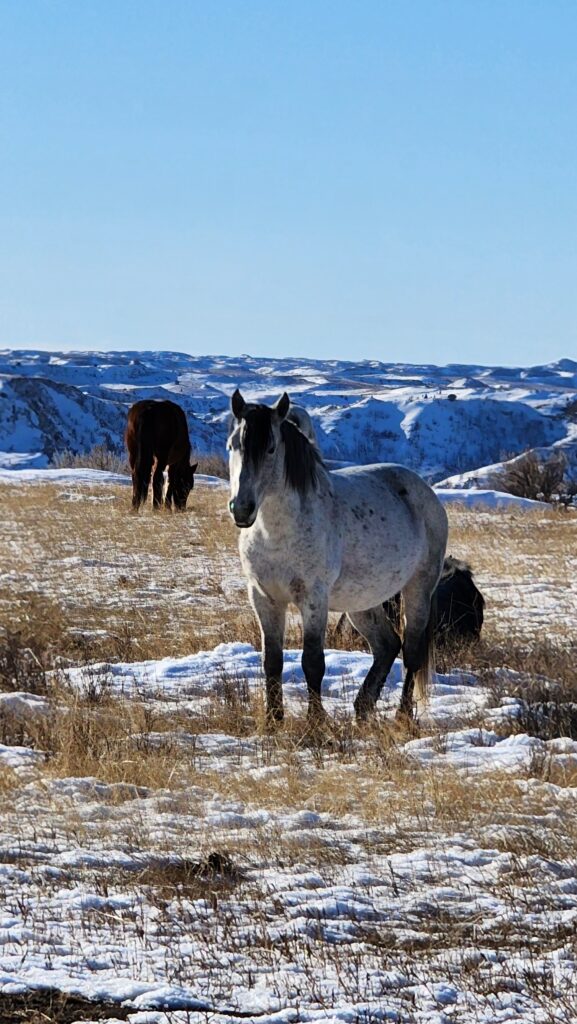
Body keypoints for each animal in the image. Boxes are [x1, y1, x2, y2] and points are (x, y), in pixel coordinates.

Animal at [228, 389, 448, 720]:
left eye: (270, 448)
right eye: (233, 445)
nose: (241, 509)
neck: (275, 533)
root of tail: (425, 490)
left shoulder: (313, 599)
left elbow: (312, 663)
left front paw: (316, 721)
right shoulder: (264, 597)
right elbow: (272, 662)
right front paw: (272, 721)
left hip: (419, 589)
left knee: (411, 652)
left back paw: (401, 715)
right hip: (361, 603)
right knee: (387, 646)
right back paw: (362, 707)